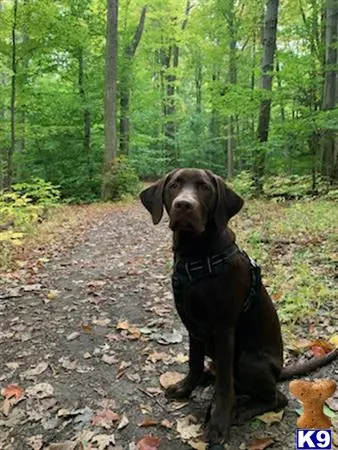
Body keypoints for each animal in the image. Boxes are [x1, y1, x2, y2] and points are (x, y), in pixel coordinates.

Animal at [139, 170, 336, 446]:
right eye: (174, 185)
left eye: (205, 187)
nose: (184, 205)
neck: (195, 255)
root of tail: (279, 370)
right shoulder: (193, 327)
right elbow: (194, 362)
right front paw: (185, 387)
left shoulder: (224, 328)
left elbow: (224, 386)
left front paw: (219, 423)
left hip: (249, 361)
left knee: (276, 398)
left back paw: (241, 410)